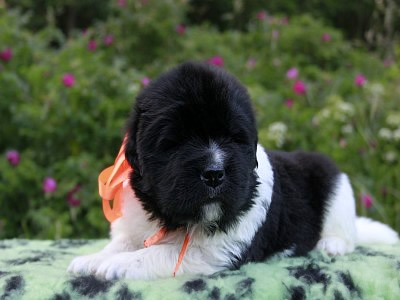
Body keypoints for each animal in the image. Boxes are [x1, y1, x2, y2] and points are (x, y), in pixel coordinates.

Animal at [67, 62, 398, 280]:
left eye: (234, 138)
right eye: (176, 141)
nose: (214, 172)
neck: (170, 217)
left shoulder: (215, 251)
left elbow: (161, 253)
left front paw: (119, 265)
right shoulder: (135, 221)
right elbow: (120, 244)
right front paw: (93, 259)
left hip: (337, 187)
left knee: (346, 231)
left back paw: (332, 244)